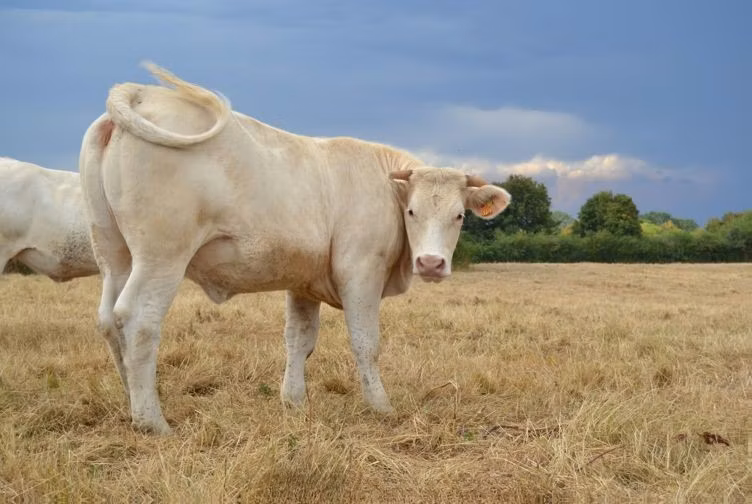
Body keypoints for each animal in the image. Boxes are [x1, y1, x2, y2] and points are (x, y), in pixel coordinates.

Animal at [79, 63, 511, 434]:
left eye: (459, 215)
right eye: (411, 211)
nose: (432, 262)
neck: (385, 186)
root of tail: (140, 93)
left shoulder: (303, 284)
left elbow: (299, 341)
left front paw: (294, 401)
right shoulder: (360, 273)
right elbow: (366, 343)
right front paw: (380, 406)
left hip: (114, 255)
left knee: (108, 319)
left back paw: (131, 402)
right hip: (161, 258)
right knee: (138, 320)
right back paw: (152, 421)